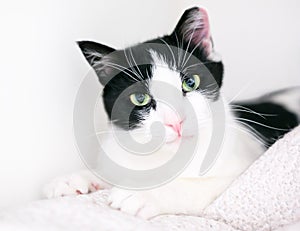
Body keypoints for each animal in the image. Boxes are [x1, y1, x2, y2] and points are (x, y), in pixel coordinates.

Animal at [44, 6, 300, 218]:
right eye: (140, 98)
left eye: (190, 82)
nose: (176, 121)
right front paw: (74, 179)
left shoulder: (244, 168)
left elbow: (198, 186)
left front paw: (141, 194)